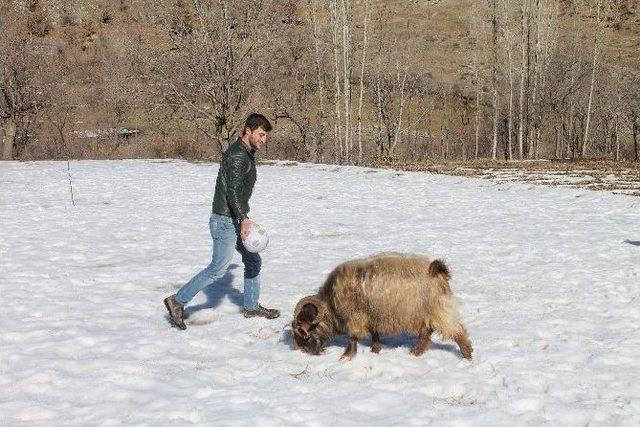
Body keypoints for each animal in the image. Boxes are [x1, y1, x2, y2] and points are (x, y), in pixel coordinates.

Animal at [292, 254, 472, 362]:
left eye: (301, 330)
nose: (298, 350)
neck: (330, 304)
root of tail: (437, 270)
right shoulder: (372, 316)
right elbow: (374, 334)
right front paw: (375, 350)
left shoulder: (355, 318)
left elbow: (353, 337)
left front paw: (346, 357)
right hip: (425, 313)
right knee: (426, 335)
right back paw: (414, 352)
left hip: (437, 310)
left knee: (457, 332)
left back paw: (467, 356)